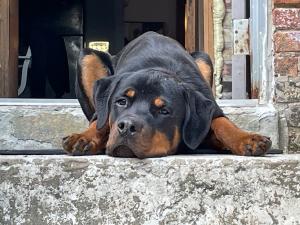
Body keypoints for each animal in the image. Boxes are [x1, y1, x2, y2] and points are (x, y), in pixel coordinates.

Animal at [62, 31, 272, 158]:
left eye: (164, 111)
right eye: (121, 102)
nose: (127, 126)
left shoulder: (209, 105)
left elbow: (222, 123)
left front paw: (247, 138)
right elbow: (101, 122)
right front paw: (83, 137)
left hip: (203, 58)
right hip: (86, 57)